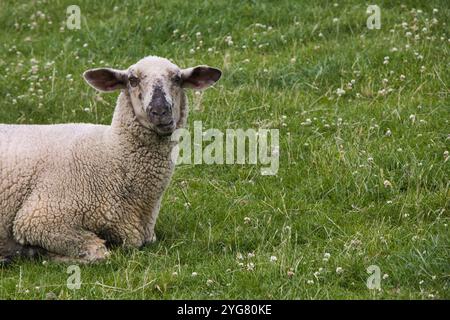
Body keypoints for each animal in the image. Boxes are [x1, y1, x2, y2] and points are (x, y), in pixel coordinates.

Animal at [0, 55, 221, 264]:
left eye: (177, 79)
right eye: (132, 80)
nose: (159, 111)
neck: (111, 152)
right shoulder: (40, 217)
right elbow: (99, 253)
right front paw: (35, 253)